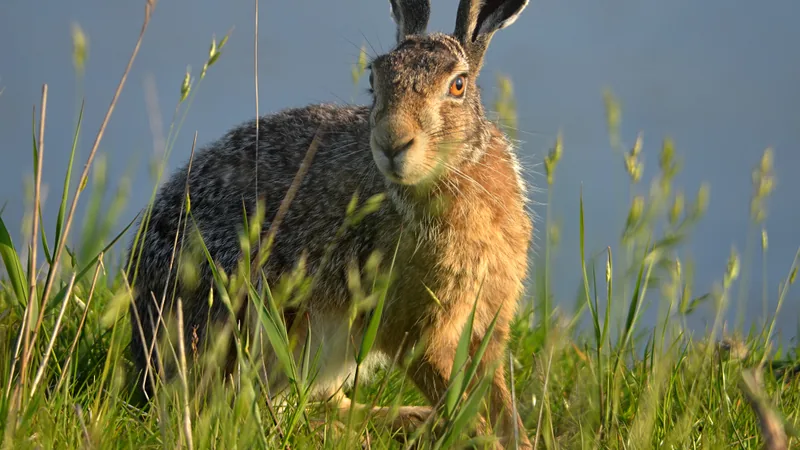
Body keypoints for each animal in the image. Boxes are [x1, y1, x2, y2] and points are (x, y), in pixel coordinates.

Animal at [126, 0, 534, 447]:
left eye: (458, 85)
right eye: (374, 78)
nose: (392, 142)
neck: (457, 172)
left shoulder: (486, 322)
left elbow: (496, 398)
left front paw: (517, 440)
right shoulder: (410, 329)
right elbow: (458, 399)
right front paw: (480, 437)